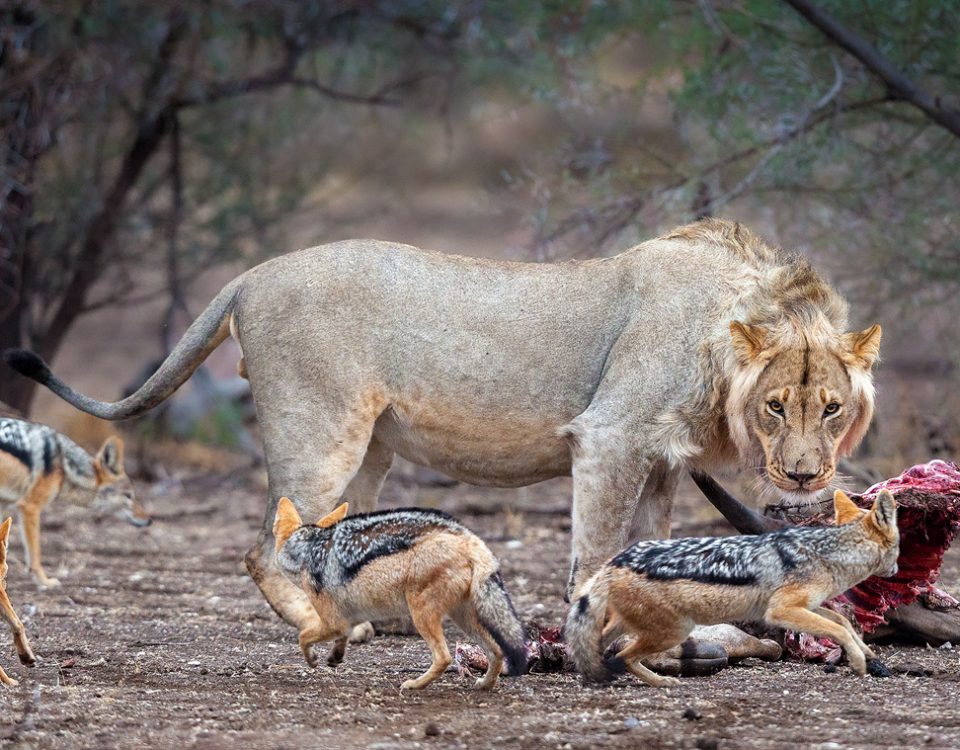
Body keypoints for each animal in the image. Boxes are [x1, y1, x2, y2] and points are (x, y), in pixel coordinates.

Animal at [5, 218, 880, 636]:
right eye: (777, 405)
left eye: (832, 408)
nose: (805, 476)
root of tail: (250, 275)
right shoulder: (611, 436)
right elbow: (596, 551)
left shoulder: (664, 461)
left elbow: (649, 546)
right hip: (319, 432)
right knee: (266, 547)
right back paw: (329, 628)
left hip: (368, 449)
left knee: (329, 537)